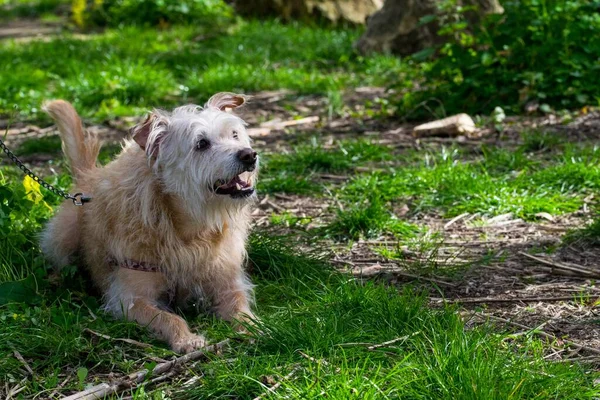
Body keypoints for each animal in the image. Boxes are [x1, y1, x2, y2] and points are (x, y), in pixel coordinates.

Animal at [42, 94, 258, 354]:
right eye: (201, 144)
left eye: (234, 135)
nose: (249, 155)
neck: (190, 231)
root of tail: (87, 178)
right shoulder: (130, 298)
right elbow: (169, 318)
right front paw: (187, 339)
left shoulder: (227, 282)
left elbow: (240, 308)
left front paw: (255, 328)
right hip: (62, 237)